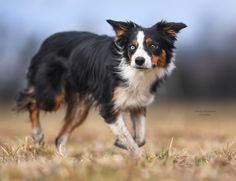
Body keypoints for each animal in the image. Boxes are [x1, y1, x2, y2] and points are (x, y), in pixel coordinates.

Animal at [16, 19, 186, 156]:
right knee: (31, 101)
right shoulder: (109, 107)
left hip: (80, 108)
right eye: (132, 47)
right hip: (53, 96)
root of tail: (46, 42)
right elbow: (130, 139)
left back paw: (65, 158)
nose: (139, 60)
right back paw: (37, 135)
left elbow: (140, 137)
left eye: (153, 46)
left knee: (59, 137)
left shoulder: (138, 103)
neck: (134, 71)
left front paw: (121, 143)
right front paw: (139, 158)